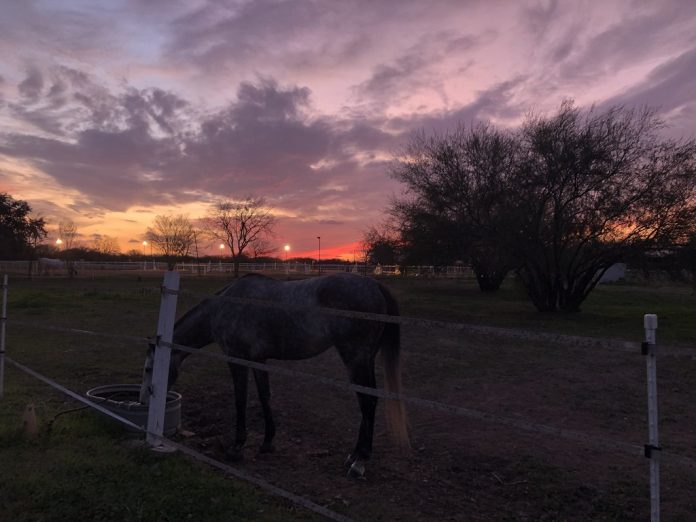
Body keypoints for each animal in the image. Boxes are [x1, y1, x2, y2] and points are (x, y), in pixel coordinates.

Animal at [140, 272, 409, 478]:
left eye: (148, 369)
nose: (144, 400)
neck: (224, 306)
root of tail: (374, 285)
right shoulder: (259, 360)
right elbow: (264, 396)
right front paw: (268, 442)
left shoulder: (236, 359)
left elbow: (240, 399)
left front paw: (237, 447)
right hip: (365, 360)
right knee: (368, 403)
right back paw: (353, 456)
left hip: (356, 360)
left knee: (368, 402)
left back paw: (359, 462)